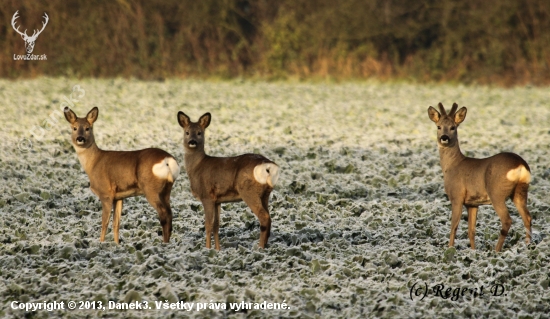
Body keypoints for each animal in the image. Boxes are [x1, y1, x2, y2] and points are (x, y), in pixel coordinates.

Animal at [64, 107, 180, 245]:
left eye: (88, 128)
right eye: (74, 128)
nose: (80, 138)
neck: (93, 163)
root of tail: (168, 160)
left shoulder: (105, 193)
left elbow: (104, 223)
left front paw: (101, 244)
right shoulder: (119, 197)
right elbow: (116, 224)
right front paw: (117, 244)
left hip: (151, 189)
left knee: (164, 215)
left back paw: (164, 244)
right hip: (166, 190)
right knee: (170, 214)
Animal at [178, 111, 280, 251]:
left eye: (199, 132)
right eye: (187, 132)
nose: (192, 142)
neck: (197, 167)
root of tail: (268, 165)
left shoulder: (206, 196)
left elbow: (208, 224)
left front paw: (207, 249)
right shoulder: (217, 200)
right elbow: (216, 225)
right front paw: (218, 250)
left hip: (249, 191)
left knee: (264, 217)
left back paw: (259, 248)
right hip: (265, 194)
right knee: (269, 217)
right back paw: (265, 246)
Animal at [430, 102, 532, 252]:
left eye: (453, 127)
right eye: (439, 126)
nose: (444, 138)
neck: (452, 166)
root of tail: (520, 164)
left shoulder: (457, 196)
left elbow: (454, 226)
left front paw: (450, 249)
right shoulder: (472, 203)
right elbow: (471, 231)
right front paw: (473, 251)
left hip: (496, 192)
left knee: (507, 220)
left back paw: (496, 250)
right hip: (521, 190)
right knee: (527, 217)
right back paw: (528, 247)